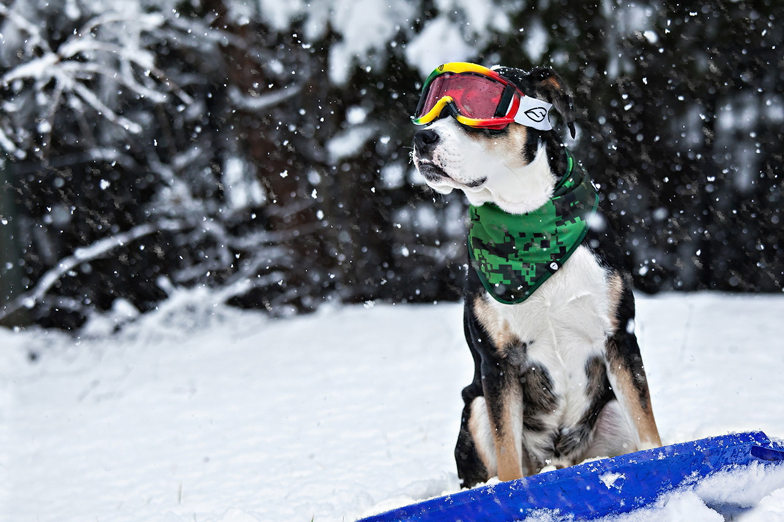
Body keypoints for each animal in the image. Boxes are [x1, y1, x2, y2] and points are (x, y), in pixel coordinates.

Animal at [410, 63, 660, 486]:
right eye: (430, 107)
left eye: (480, 104)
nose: (422, 137)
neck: (528, 221)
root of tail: (558, 460)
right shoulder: (498, 361)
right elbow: (508, 452)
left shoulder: (619, 337)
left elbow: (649, 431)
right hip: (475, 408)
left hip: (609, 411)